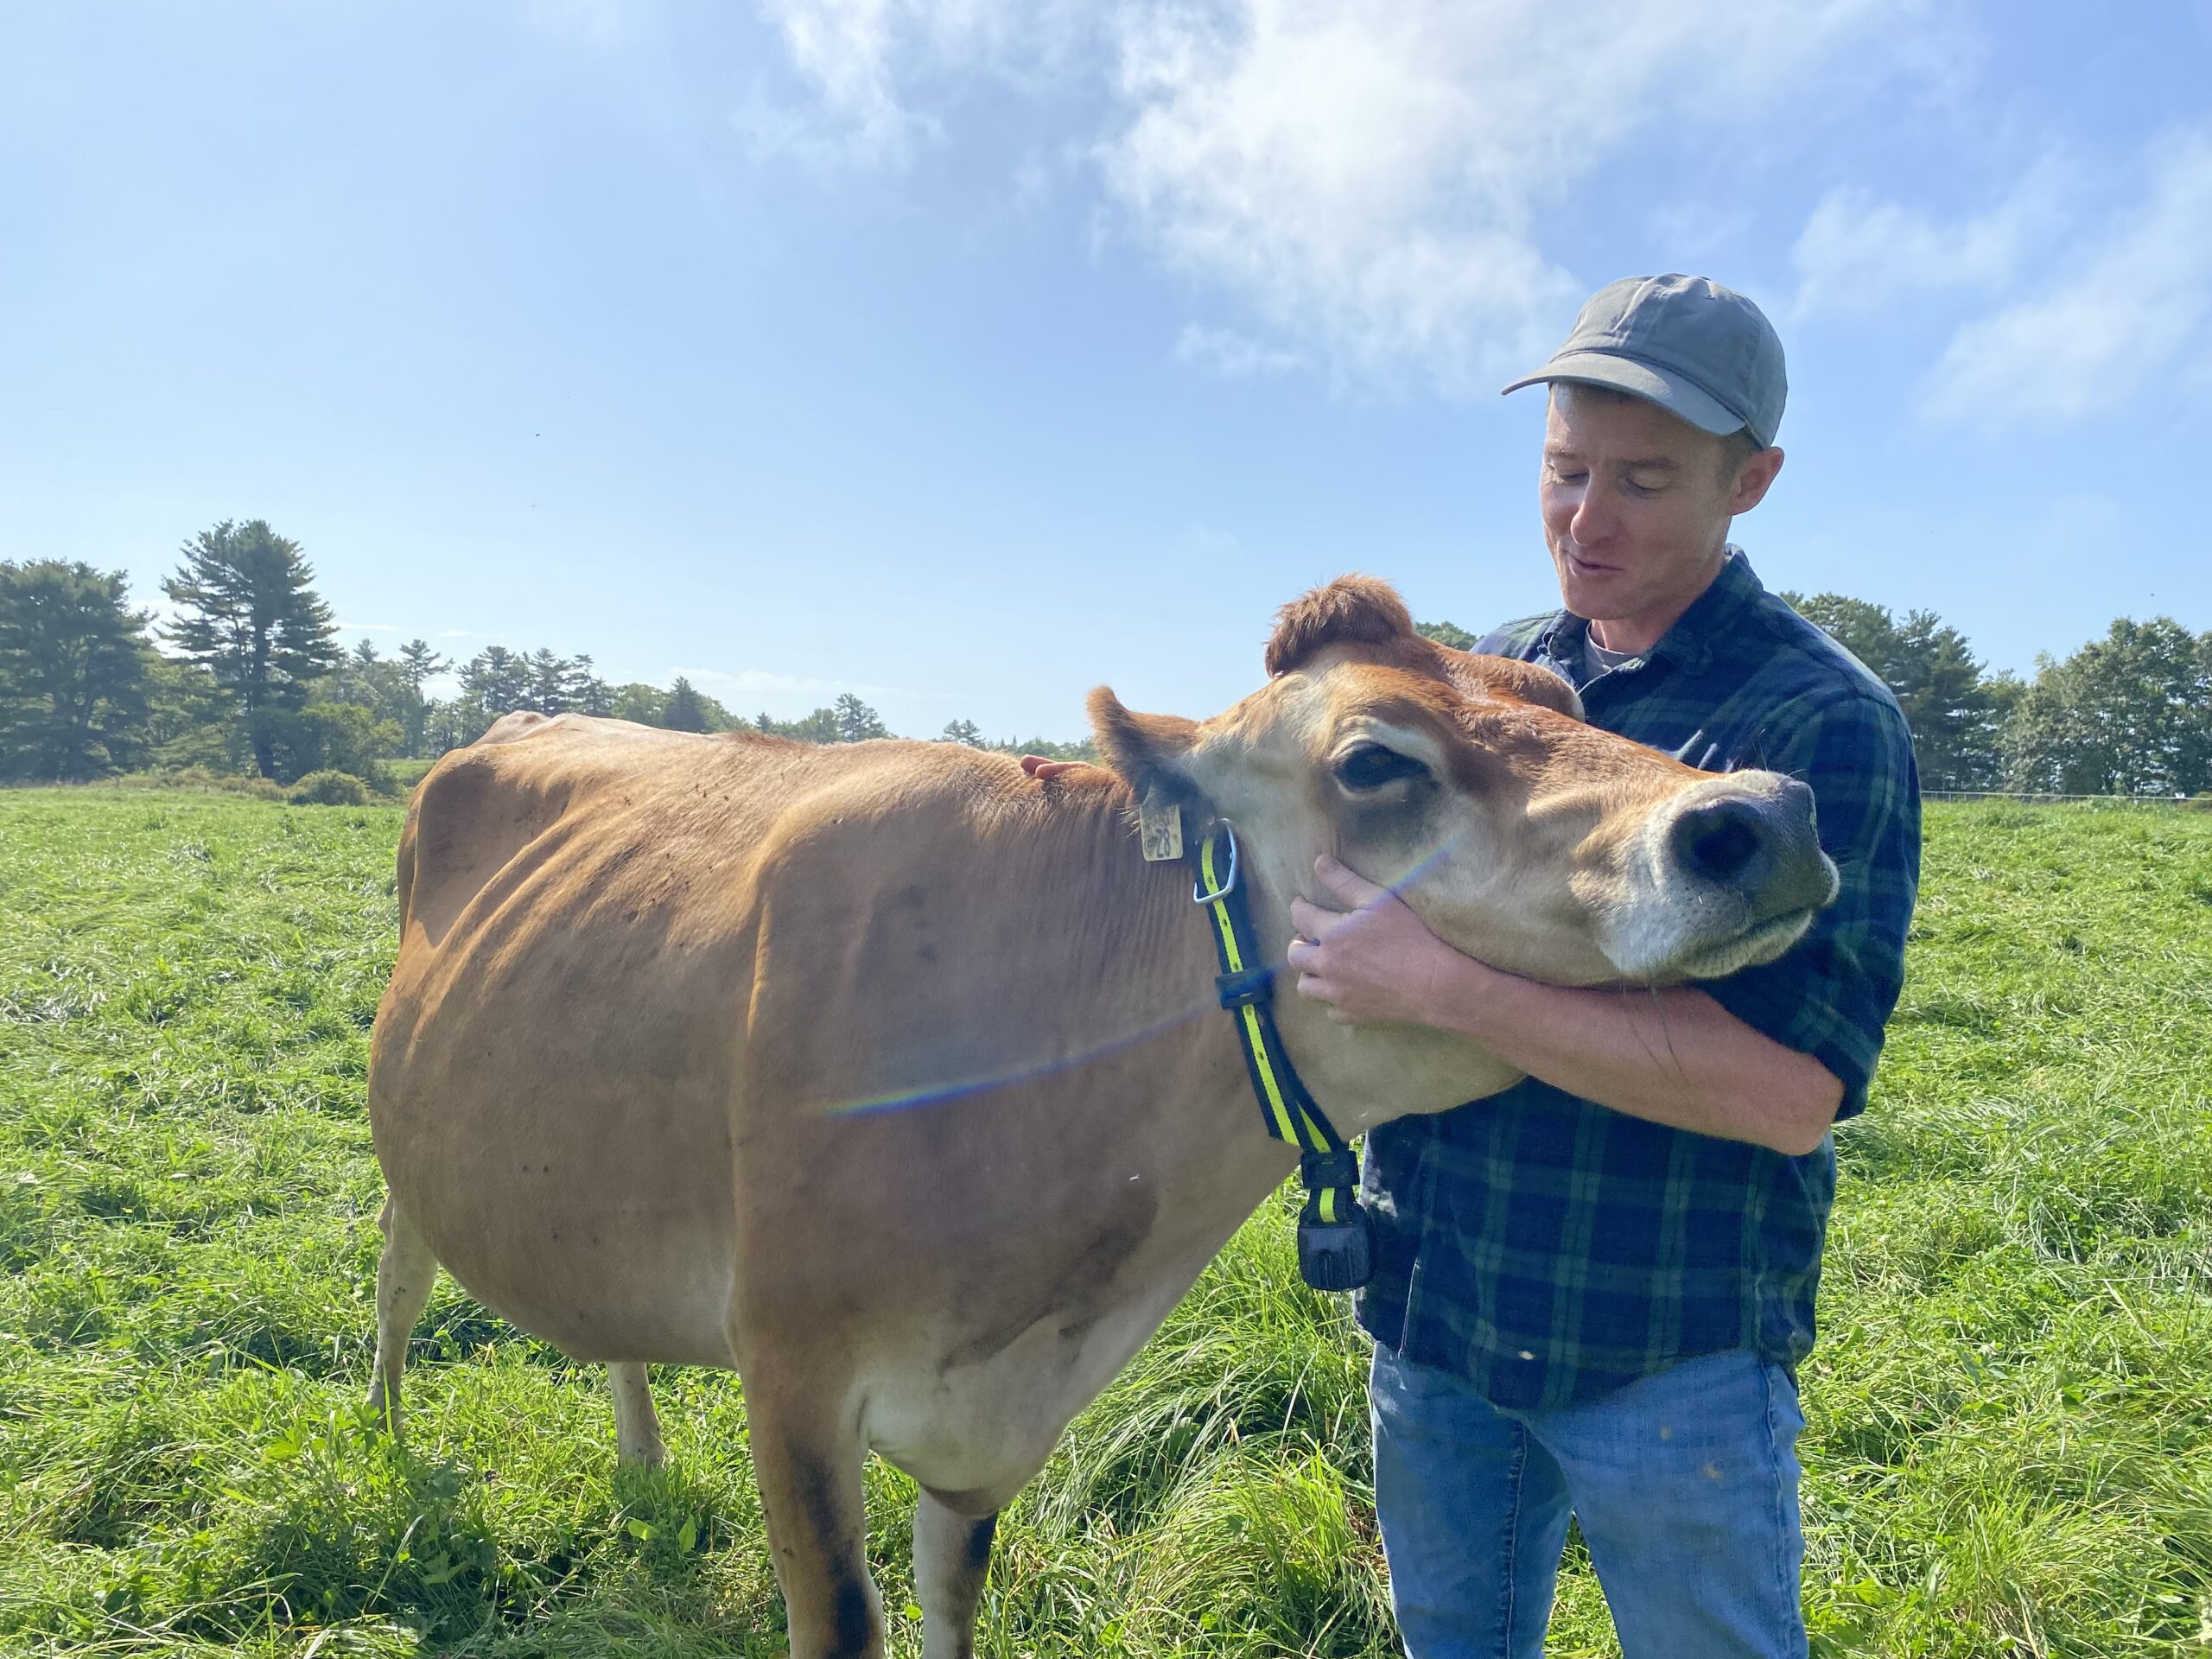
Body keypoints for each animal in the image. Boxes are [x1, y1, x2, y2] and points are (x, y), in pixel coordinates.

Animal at [365, 575, 1836, 1659]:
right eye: (1374, 759)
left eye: (1557, 693)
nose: (1763, 815)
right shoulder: (789, 1372)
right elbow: (847, 1621)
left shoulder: (988, 1428)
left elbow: (953, 1602)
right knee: (396, 1274)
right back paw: (381, 1451)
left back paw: (645, 1465)